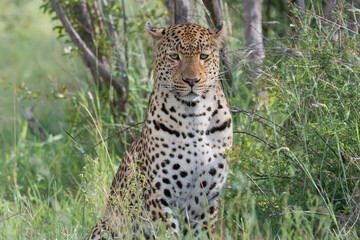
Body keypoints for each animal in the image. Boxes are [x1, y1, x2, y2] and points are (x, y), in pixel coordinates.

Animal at [87, 21, 233, 239]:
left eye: (204, 56)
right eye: (174, 56)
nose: (192, 80)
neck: (195, 117)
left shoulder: (208, 197)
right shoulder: (159, 195)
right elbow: (168, 233)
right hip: (106, 226)